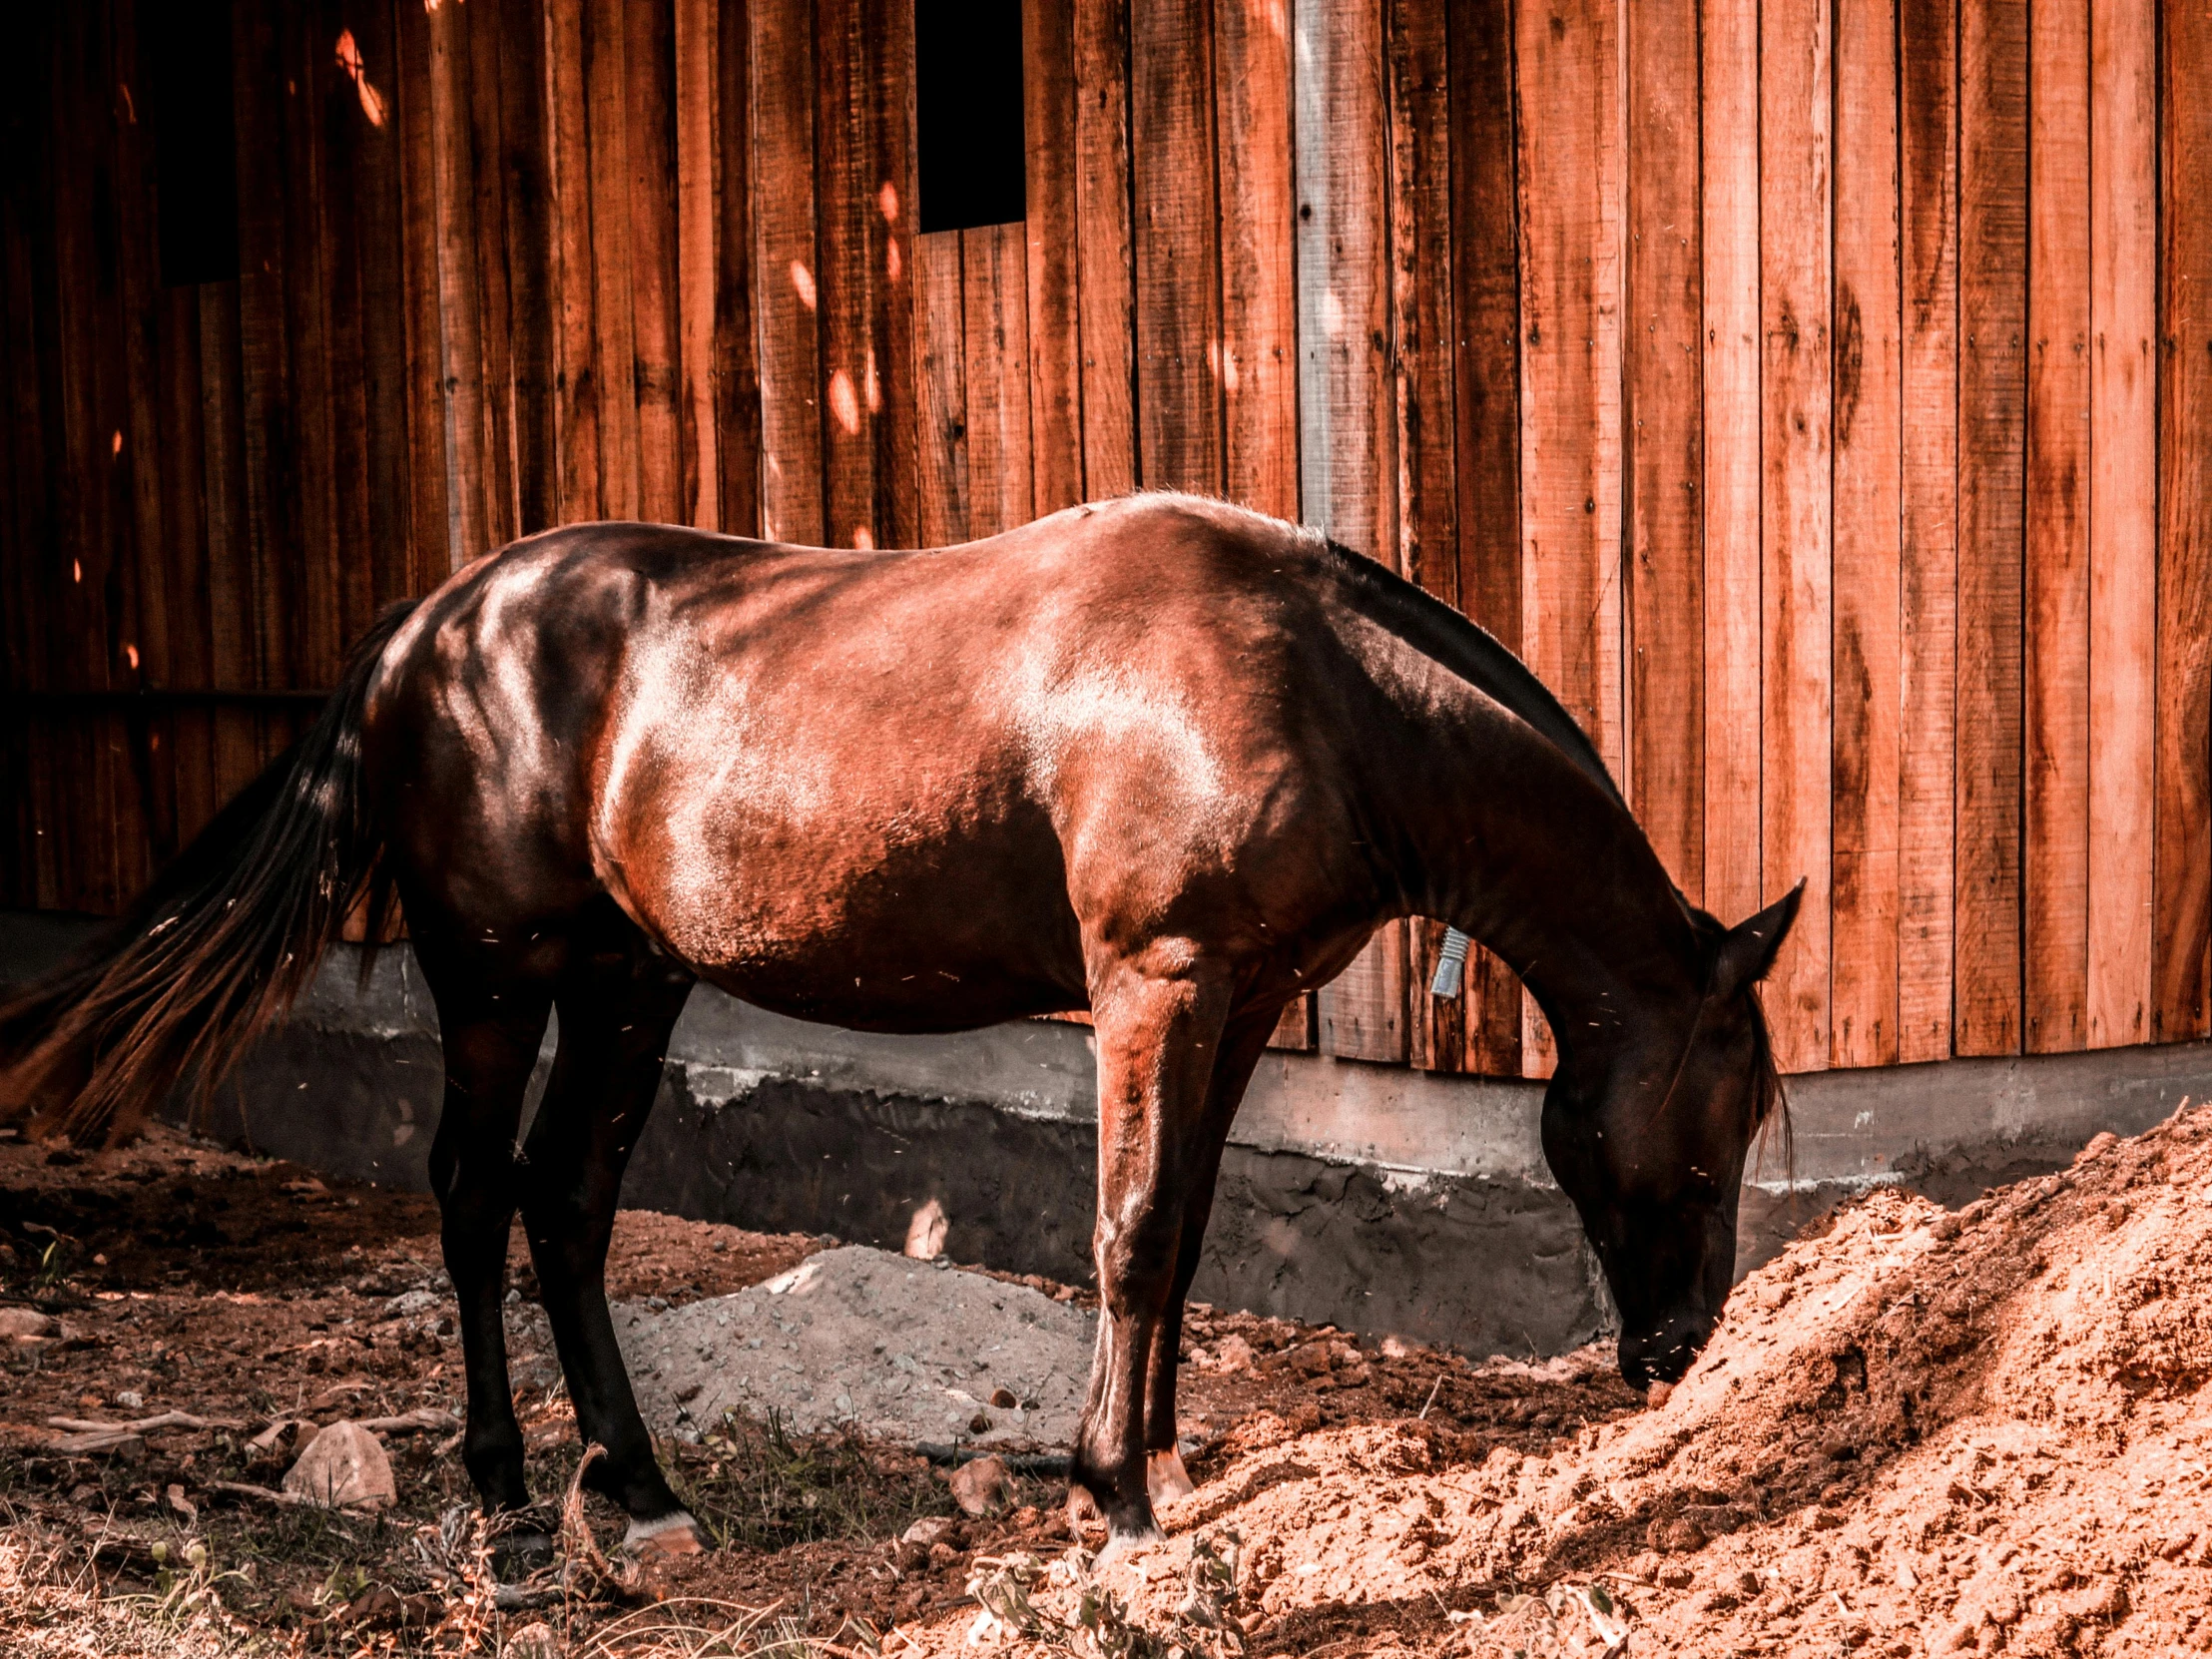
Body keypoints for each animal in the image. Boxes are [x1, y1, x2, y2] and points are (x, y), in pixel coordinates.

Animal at [0, 493, 1796, 1557]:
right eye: (1717, 1138)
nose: (1674, 1349)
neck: (1315, 685)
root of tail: (433, 623)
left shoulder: (1241, 1000)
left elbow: (1186, 1229)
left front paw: (1165, 1451)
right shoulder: (1153, 984)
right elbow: (1131, 1230)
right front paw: (1115, 1489)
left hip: (628, 979)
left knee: (566, 1202)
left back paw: (640, 1482)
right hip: (498, 978)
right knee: (468, 1191)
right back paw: (505, 1482)